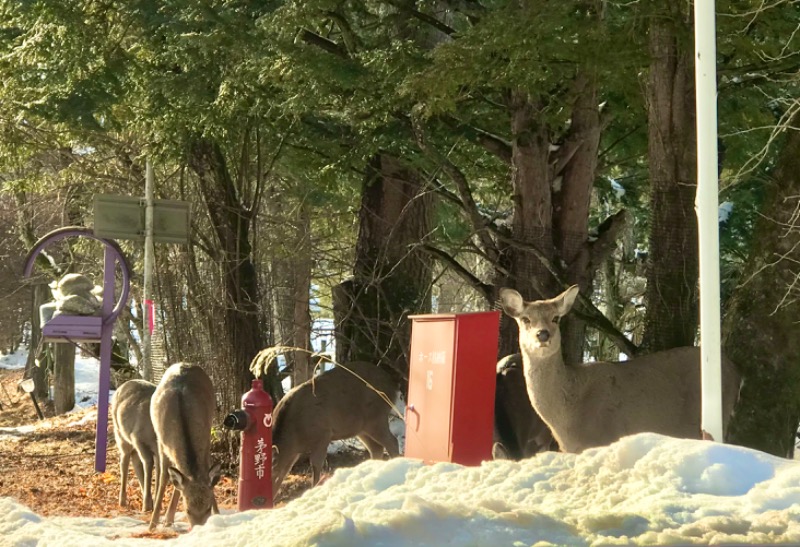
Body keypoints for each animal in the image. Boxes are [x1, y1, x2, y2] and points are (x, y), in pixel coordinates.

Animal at [112, 378, 159, 512]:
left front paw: (155, 501)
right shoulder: (138, 438)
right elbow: (149, 463)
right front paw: (146, 506)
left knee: (135, 461)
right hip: (121, 435)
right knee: (125, 461)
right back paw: (122, 501)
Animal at [147, 364, 220, 532]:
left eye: (207, 508)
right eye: (187, 510)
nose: (199, 529)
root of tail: (184, 364)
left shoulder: (206, 441)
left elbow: (208, 477)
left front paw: (218, 514)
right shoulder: (162, 444)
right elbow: (163, 478)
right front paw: (152, 525)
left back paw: (169, 518)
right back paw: (166, 519)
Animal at [272, 364, 400, 496]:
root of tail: (393, 386)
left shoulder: (323, 434)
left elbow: (316, 465)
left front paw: (313, 489)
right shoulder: (294, 453)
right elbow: (284, 472)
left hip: (376, 417)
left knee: (392, 442)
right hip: (361, 428)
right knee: (376, 448)